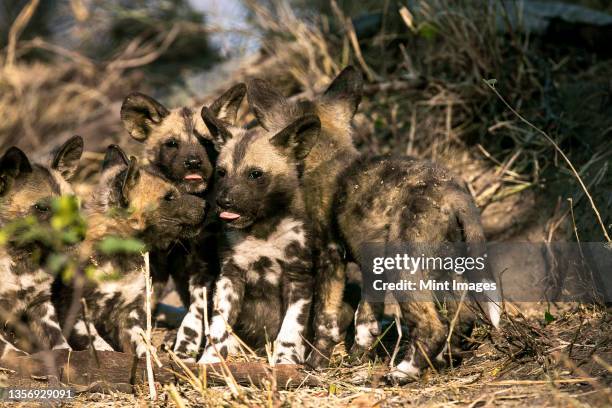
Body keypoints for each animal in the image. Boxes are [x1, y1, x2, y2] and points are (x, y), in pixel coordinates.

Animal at [0, 135, 83, 358]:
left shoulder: (40, 305)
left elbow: (61, 344)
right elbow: (9, 351)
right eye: (42, 208)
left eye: (72, 204)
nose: (80, 234)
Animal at [53, 145, 206, 356]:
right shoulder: (75, 313)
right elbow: (100, 346)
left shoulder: (130, 312)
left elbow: (142, 345)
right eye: (168, 197)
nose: (207, 205)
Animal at [185, 107, 318, 364]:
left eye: (255, 174)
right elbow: (219, 327)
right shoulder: (230, 277)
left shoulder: (298, 279)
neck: (261, 230)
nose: (223, 201)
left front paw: (285, 362)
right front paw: (210, 361)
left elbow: (290, 330)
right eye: (222, 173)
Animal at [246, 68, 500, 380]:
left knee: (433, 327)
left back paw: (404, 372)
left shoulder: (330, 257)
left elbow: (324, 320)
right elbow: (366, 320)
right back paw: (443, 360)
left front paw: (316, 364)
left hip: (404, 268)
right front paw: (358, 356)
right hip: (445, 269)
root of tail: (451, 191)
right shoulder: (370, 265)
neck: (327, 157)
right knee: (462, 319)